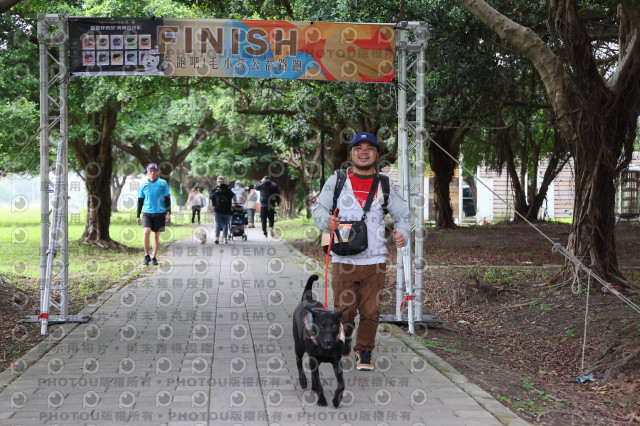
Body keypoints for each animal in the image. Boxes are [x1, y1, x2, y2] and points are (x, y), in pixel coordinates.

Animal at [293, 274, 346, 407]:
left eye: (334, 327)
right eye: (321, 327)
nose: (328, 341)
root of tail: (307, 299)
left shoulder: (337, 362)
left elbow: (341, 385)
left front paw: (336, 400)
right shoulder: (314, 359)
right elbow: (319, 383)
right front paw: (321, 399)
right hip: (298, 346)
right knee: (299, 362)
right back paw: (303, 381)